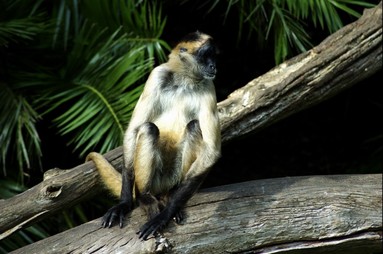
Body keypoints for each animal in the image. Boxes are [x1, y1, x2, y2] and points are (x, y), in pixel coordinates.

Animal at [85, 31, 220, 240]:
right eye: (206, 56)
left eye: (213, 56)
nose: (214, 66)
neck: (185, 80)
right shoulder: (158, 74)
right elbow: (134, 129)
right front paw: (124, 203)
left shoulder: (209, 83)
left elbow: (212, 151)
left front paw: (166, 214)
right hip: (153, 178)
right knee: (148, 129)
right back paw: (145, 197)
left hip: (172, 176)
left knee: (194, 126)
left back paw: (170, 196)